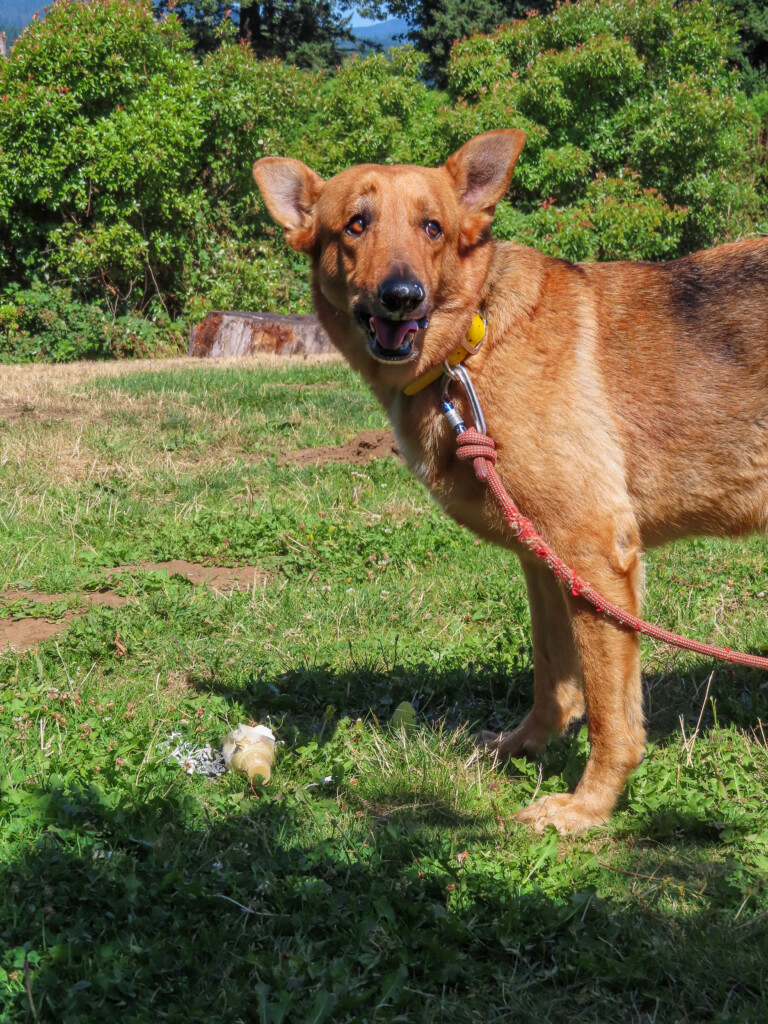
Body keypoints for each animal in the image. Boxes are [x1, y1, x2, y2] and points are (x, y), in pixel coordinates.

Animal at [257, 130, 768, 831]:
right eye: (355, 225)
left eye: (433, 228)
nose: (401, 296)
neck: (468, 347)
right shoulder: (546, 561)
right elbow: (553, 675)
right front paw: (528, 745)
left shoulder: (594, 556)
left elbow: (611, 716)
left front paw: (588, 806)